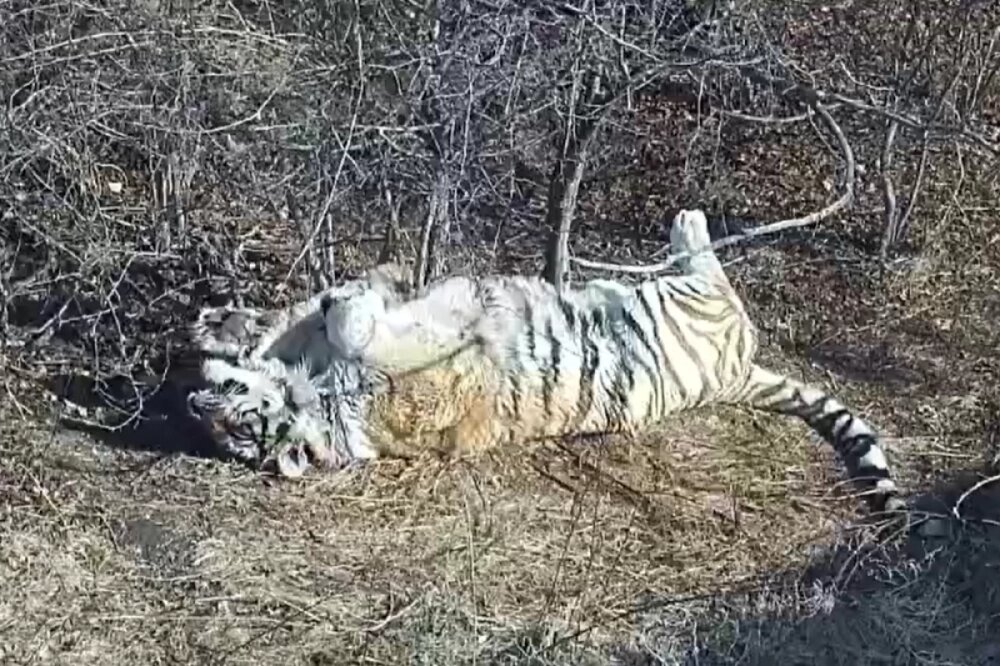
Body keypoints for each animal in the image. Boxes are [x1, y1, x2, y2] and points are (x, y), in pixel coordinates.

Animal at [313, 209, 904, 514]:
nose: (323, 301)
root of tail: (737, 372)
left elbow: (368, 319)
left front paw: (345, 296)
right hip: (683, 304)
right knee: (712, 277)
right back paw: (689, 224)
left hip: (675, 301)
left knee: (711, 273)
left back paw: (689, 222)